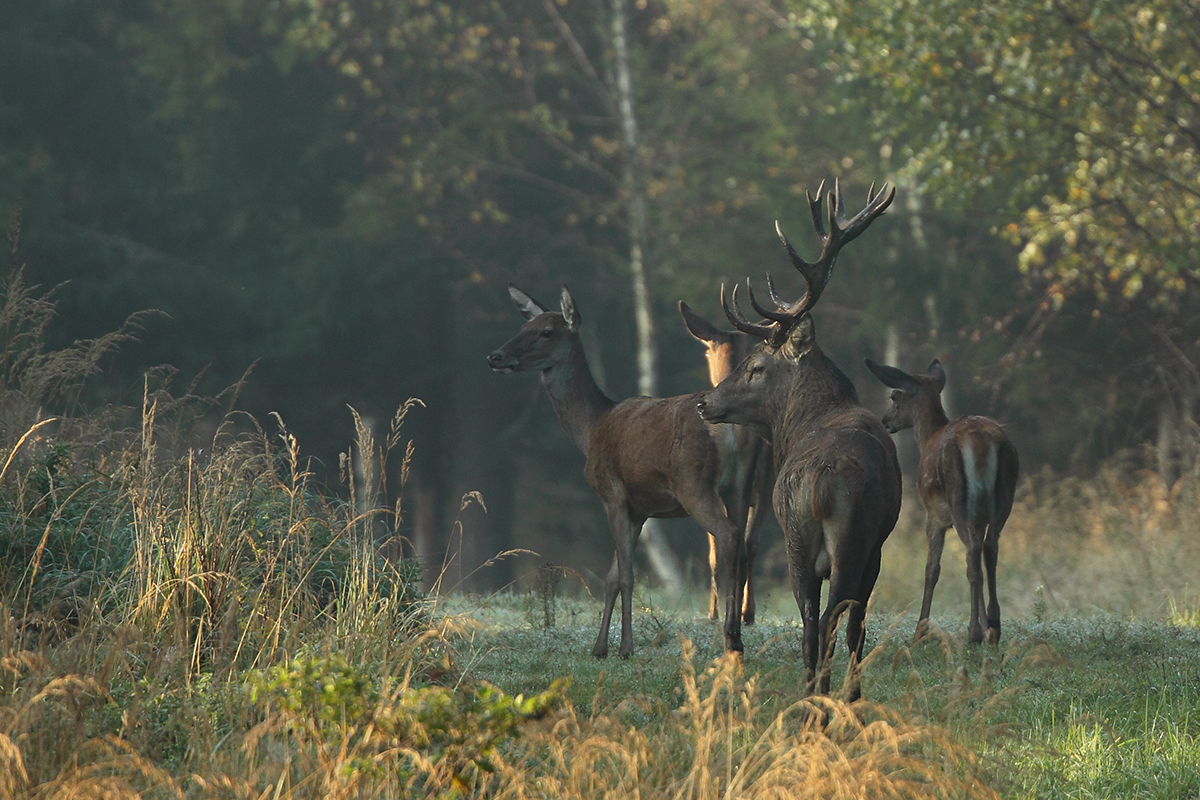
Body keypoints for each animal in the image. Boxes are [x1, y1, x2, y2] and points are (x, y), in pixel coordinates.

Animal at [489, 284, 748, 662]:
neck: (590, 429)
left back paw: (731, 638)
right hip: (740, 485)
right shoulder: (639, 510)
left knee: (728, 536)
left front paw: (625, 648)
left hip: (693, 484)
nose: (495, 357)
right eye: (523, 326)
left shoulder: (611, 494)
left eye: (547, 332)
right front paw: (599, 647)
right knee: (743, 539)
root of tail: (728, 431)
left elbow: (626, 575)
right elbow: (612, 576)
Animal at [696, 183, 902, 700]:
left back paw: (811, 698)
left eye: (755, 367)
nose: (704, 403)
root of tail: (822, 486)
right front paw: (853, 696)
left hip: (798, 540)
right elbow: (857, 626)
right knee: (832, 620)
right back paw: (831, 700)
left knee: (811, 622)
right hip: (850, 541)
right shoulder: (878, 543)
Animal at [868, 359, 1017, 647]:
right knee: (989, 548)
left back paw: (974, 633)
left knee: (972, 552)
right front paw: (986, 624)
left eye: (894, 396)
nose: (885, 421)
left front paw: (920, 631)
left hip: (957, 496)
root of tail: (981, 440)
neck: (927, 436)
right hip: (1004, 495)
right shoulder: (978, 518)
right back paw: (994, 626)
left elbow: (931, 569)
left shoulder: (933, 514)